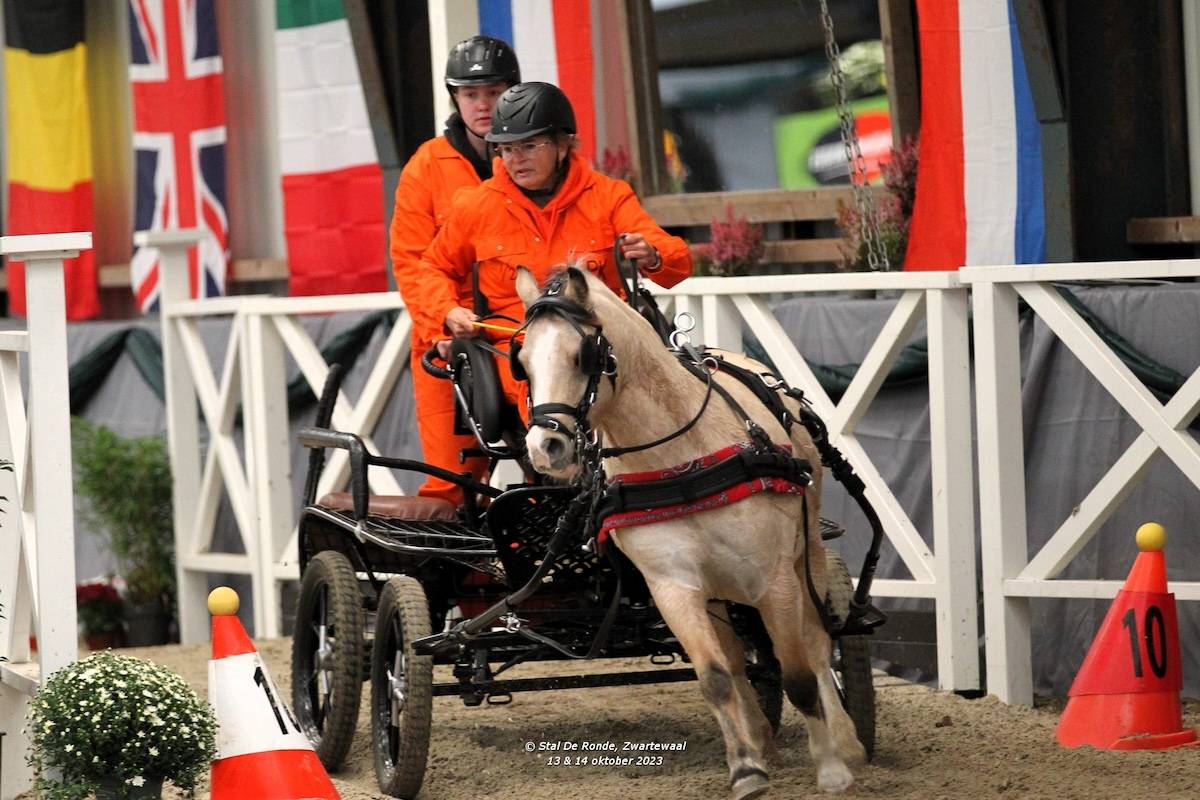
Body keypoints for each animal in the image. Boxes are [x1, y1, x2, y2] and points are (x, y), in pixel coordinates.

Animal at [512, 265, 867, 798]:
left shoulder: (775, 579)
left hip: (808, 555)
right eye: (522, 362)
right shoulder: (673, 586)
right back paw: (761, 741)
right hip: (718, 591)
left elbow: (800, 672)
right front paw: (745, 769)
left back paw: (846, 741)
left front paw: (831, 767)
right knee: (739, 662)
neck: (680, 462)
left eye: (582, 355)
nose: (544, 449)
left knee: (818, 642)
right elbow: (717, 677)